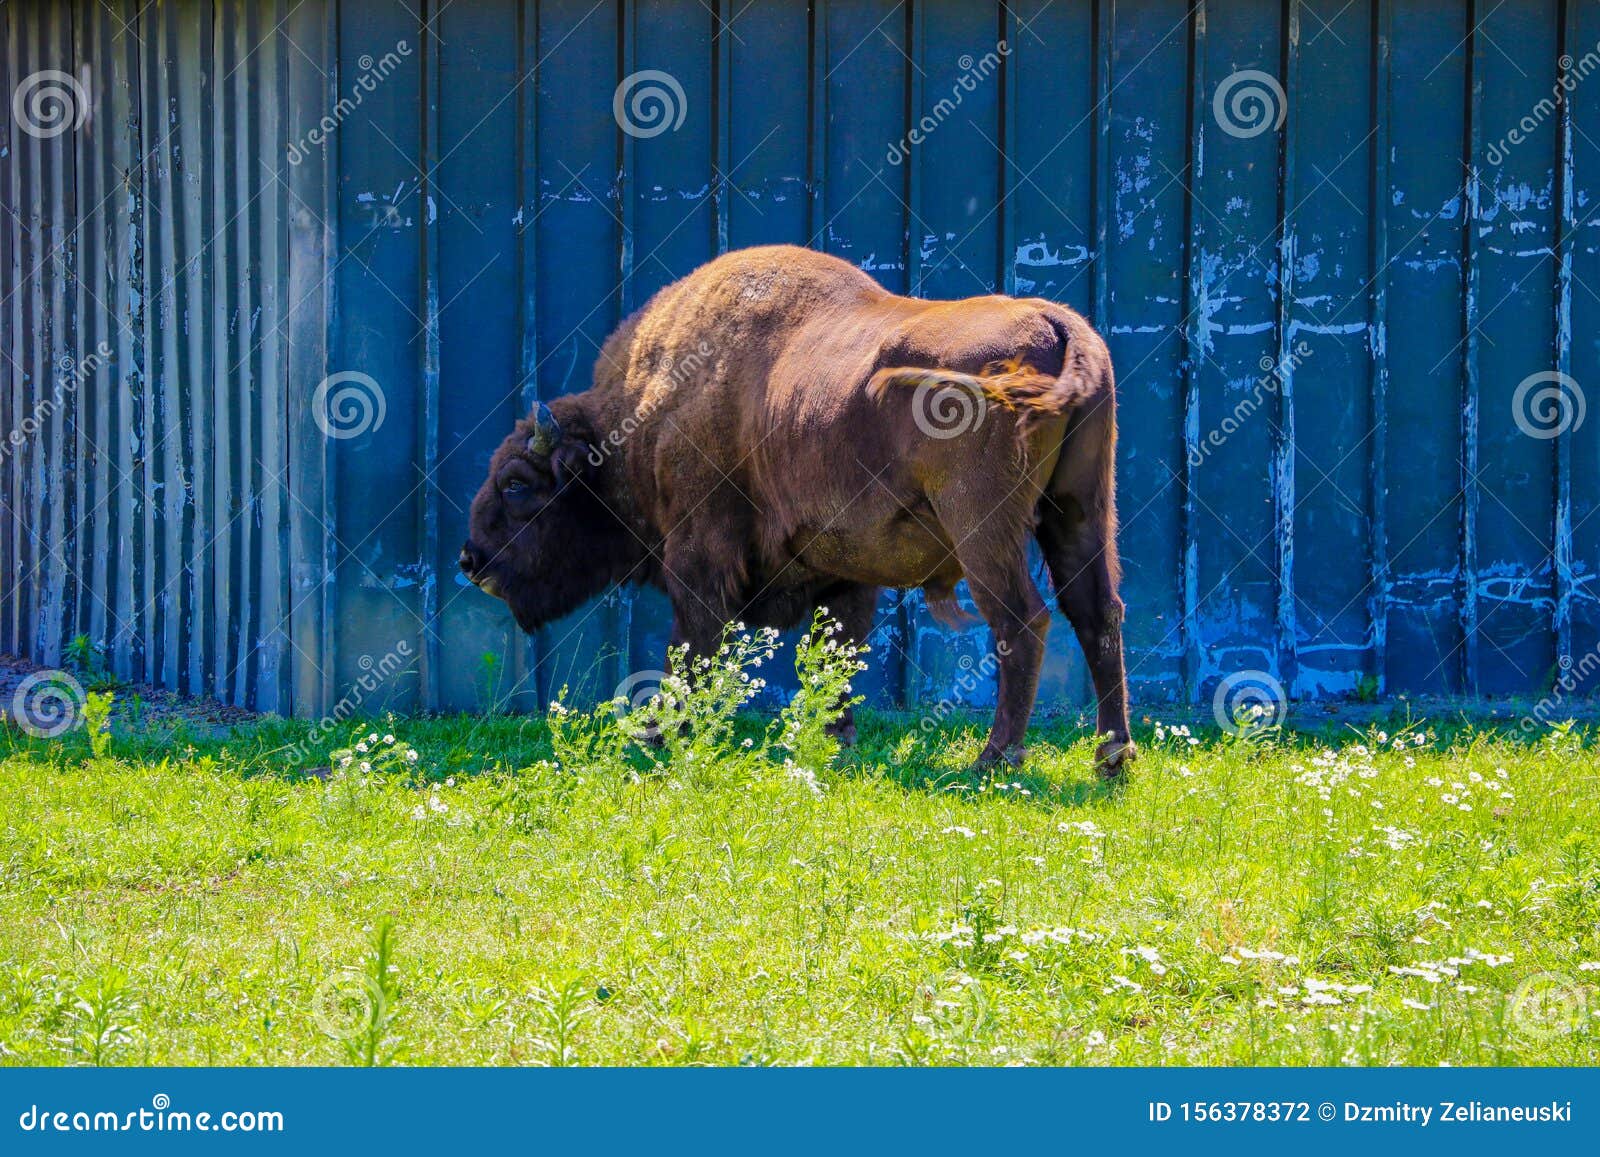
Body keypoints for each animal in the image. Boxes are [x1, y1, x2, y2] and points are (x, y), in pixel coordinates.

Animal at [461, 245, 1133, 774]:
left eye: (516, 484)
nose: (471, 561)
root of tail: (1058, 323)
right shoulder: (847, 572)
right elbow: (836, 652)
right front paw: (834, 740)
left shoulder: (699, 555)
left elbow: (691, 645)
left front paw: (666, 735)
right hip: (1080, 511)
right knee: (1096, 612)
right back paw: (1112, 759)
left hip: (984, 529)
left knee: (1021, 620)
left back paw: (995, 760)